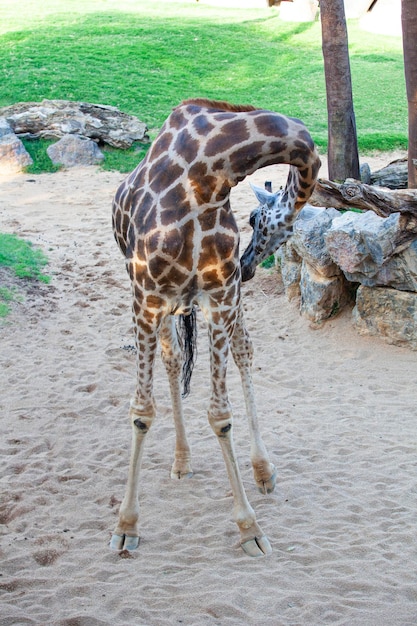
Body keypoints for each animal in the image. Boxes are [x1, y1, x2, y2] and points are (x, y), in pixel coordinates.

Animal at [109, 98, 318, 556]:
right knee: (172, 360)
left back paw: (262, 470)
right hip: (165, 302)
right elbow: (141, 411)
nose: (249, 264)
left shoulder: (220, 295)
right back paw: (181, 460)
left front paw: (249, 528)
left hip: (213, 300)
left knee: (242, 351)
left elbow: (221, 414)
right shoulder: (146, 295)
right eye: (253, 218)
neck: (208, 175)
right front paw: (126, 525)